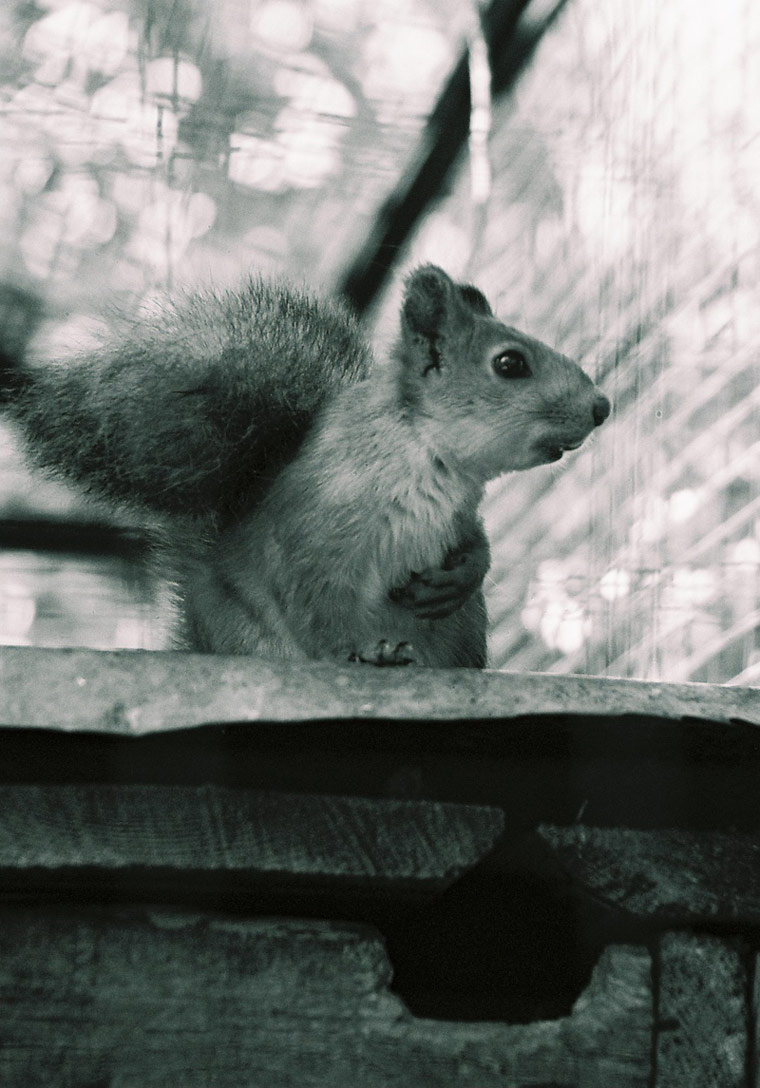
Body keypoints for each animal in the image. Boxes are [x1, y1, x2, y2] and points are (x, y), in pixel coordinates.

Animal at [1, 265, 610, 667]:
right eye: (510, 364)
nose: (602, 406)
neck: (428, 460)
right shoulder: (318, 527)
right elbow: (314, 599)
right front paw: (357, 650)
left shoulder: (459, 515)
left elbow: (476, 545)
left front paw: (460, 576)